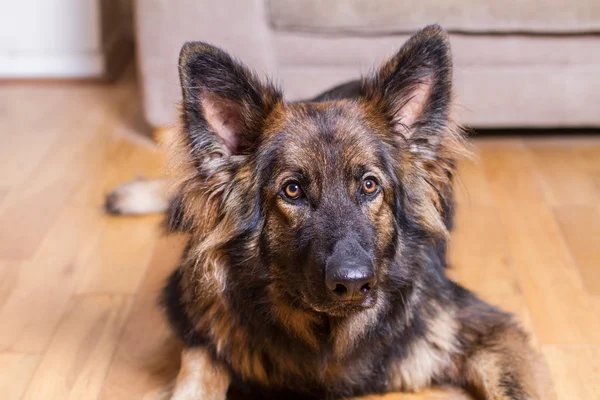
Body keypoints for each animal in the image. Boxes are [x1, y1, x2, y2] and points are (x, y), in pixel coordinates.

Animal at [105, 25, 548, 400]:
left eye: (369, 185)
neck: (326, 336)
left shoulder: (486, 330)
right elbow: (197, 375)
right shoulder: (202, 323)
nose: (352, 283)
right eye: (293, 190)